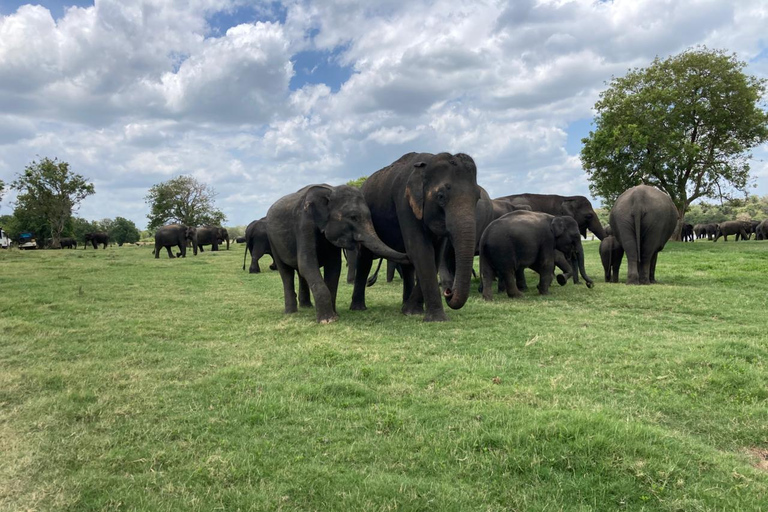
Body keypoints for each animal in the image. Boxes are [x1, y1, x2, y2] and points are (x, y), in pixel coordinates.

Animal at [267, 184, 408, 324]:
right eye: (353, 217)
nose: (408, 254)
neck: (330, 190)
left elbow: (334, 266)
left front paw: (335, 315)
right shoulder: (303, 223)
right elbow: (307, 264)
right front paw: (328, 320)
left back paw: (306, 307)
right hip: (273, 241)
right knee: (286, 273)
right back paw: (291, 312)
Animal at [350, 152, 480, 322]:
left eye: (478, 198)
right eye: (441, 196)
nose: (448, 292)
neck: (427, 163)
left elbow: (435, 255)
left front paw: (411, 311)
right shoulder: (404, 203)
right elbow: (421, 251)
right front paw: (437, 319)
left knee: (407, 266)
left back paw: (405, 305)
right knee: (365, 259)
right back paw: (358, 308)